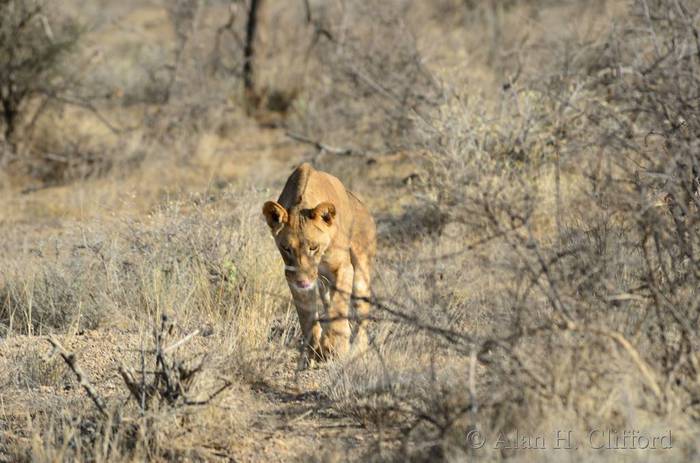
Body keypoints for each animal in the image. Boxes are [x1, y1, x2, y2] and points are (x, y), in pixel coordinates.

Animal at [263, 163, 376, 367]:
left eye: (313, 247)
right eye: (286, 248)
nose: (302, 281)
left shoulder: (343, 267)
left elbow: (338, 305)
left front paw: (334, 345)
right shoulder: (293, 277)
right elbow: (307, 318)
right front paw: (315, 351)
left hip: (361, 270)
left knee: (361, 315)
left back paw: (356, 350)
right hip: (323, 283)